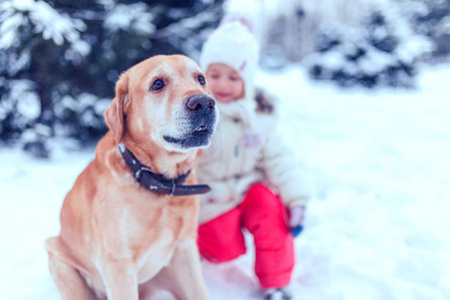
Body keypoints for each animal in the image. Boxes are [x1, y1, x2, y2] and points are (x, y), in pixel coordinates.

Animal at [44, 55, 217, 298]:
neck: (161, 186)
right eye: (157, 83)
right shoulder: (118, 265)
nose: (204, 103)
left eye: (200, 79)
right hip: (59, 259)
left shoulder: (185, 248)